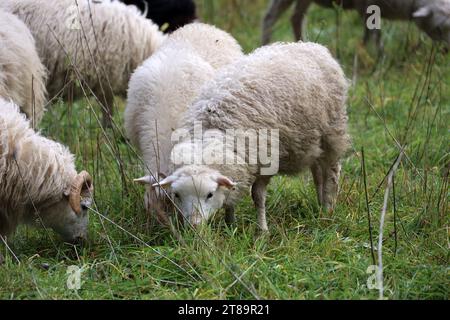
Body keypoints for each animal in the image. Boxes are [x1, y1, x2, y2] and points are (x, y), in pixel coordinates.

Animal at [139, 42, 350, 231]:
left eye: (209, 194)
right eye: (177, 195)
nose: (194, 226)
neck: (209, 131)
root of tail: (313, 46)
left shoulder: (264, 160)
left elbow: (258, 196)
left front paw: (262, 231)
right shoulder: (239, 164)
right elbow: (231, 194)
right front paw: (230, 225)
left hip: (332, 132)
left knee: (331, 172)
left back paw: (328, 209)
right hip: (314, 142)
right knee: (318, 173)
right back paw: (320, 205)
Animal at [262, 0, 450, 47]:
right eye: (440, 28)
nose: (446, 50)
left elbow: (368, 31)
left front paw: (364, 48)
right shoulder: (364, 5)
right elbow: (375, 34)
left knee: (296, 18)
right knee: (270, 17)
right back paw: (265, 43)